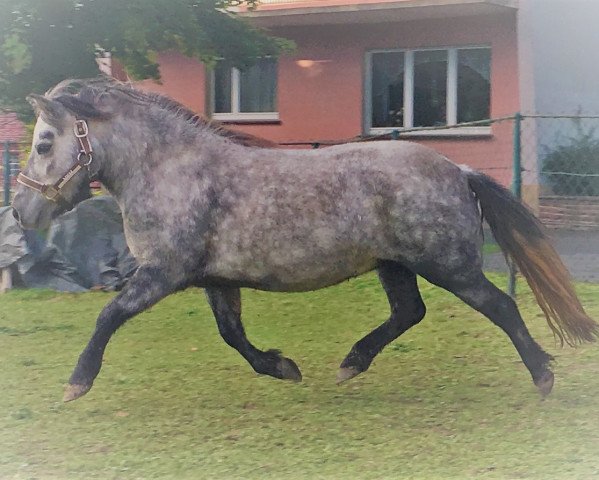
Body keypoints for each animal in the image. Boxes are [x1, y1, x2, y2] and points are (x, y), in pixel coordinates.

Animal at [11, 79, 596, 402]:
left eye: (43, 143)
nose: (20, 210)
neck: (170, 172)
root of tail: (459, 168)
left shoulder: (162, 274)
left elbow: (108, 316)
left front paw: (76, 383)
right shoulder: (214, 280)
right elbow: (232, 336)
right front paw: (283, 367)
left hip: (448, 265)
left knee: (500, 306)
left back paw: (543, 376)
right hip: (394, 264)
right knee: (409, 312)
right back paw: (351, 363)